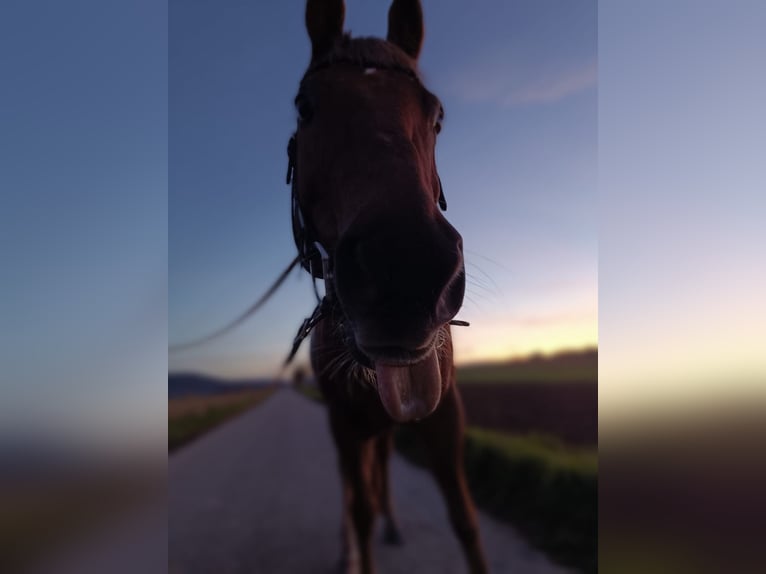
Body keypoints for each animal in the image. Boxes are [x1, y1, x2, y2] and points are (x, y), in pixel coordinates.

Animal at [289, 1, 488, 572]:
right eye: (304, 107)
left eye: (437, 116)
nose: (406, 271)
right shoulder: (346, 427)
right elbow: (358, 507)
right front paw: (357, 544)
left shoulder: (445, 419)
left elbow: (466, 523)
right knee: (354, 492)